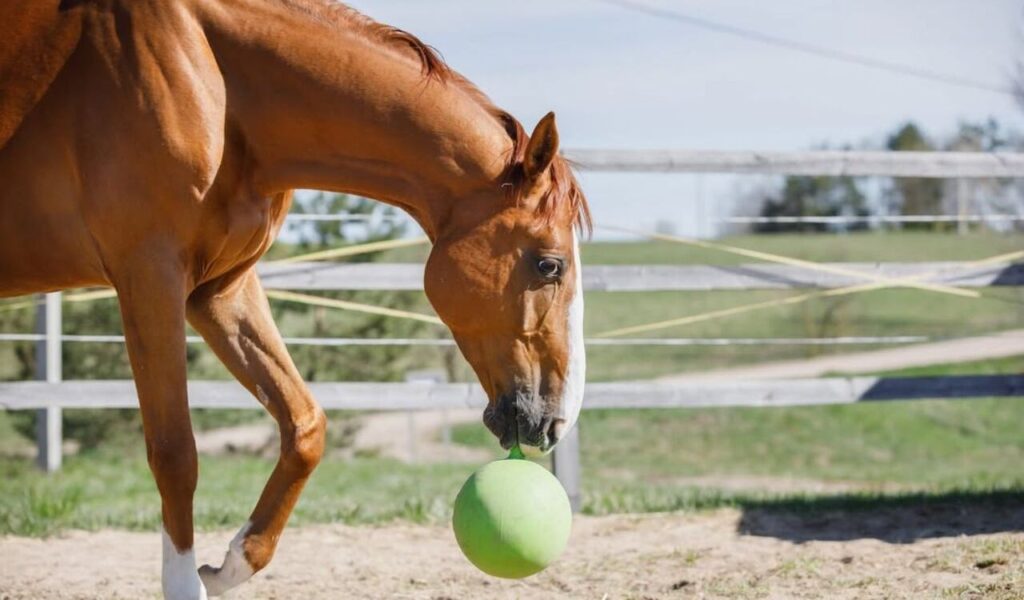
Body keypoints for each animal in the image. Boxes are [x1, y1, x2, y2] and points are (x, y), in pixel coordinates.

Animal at [0, 1, 591, 598]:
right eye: (549, 264)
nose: (557, 420)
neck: (213, 79)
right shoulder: (150, 279)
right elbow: (175, 452)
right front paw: (187, 580)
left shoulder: (220, 289)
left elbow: (305, 424)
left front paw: (233, 563)